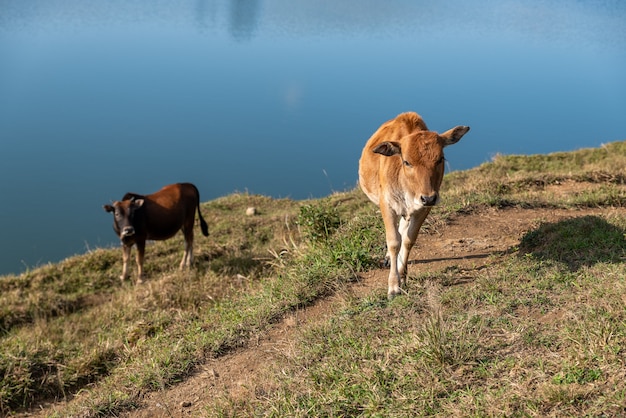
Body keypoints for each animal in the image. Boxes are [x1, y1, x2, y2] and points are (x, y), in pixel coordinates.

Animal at [356, 111, 468, 298]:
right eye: (407, 162)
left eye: (440, 159)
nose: (428, 198)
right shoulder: (386, 204)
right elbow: (394, 242)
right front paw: (393, 286)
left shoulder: (424, 208)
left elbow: (409, 240)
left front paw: (402, 275)